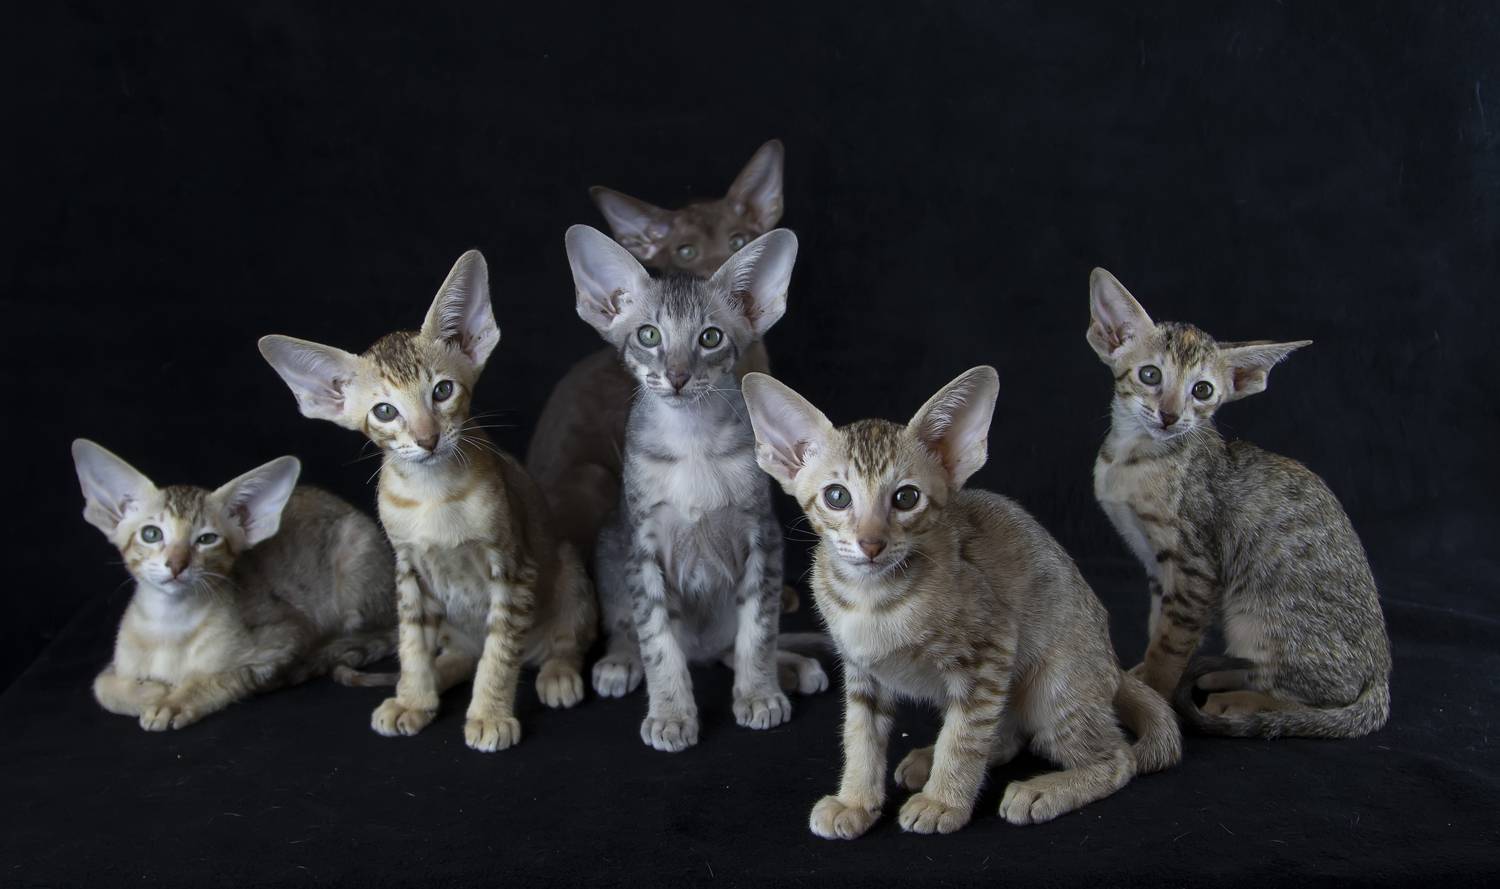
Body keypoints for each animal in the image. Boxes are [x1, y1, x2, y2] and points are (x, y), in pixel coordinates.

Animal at [72, 440, 397, 731]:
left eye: (206, 539)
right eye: (151, 534)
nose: (177, 564)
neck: (168, 625)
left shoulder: (284, 638)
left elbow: (222, 676)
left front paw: (173, 701)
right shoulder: (118, 664)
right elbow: (101, 686)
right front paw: (151, 692)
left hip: (355, 570)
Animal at [258, 249, 597, 752]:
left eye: (442, 391)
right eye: (384, 411)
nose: (427, 438)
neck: (434, 495)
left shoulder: (512, 567)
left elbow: (500, 652)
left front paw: (490, 714)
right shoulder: (408, 570)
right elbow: (412, 644)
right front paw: (413, 699)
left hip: (568, 568)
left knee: (563, 638)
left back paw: (557, 672)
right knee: (462, 655)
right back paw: (433, 679)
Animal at [563, 223, 827, 752]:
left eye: (710, 338)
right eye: (649, 335)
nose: (678, 376)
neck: (693, 443)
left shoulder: (763, 537)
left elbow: (759, 630)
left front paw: (759, 694)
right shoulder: (642, 545)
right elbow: (658, 641)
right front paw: (670, 715)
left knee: (732, 646)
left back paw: (792, 667)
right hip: (610, 543)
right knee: (628, 626)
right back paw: (620, 661)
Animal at [741, 367, 1181, 838]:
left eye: (906, 498)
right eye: (837, 496)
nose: (871, 543)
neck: (871, 598)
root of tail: (1111, 664)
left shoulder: (991, 653)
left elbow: (964, 737)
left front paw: (943, 801)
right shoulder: (861, 671)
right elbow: (860, 736)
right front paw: (855, 800)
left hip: (1055, 685)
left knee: (1118, 758)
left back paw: (1042, 790)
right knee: (1005, 733)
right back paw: (928, 760)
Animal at [1087, 267, 1392, 738]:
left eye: (1202, 390)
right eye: (1151, 375)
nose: (1170, 416)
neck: (1133, 458)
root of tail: (1381, 676)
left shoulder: (1196, 568)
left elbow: (1170, 645)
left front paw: (1153, 692)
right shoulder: (1158, 567)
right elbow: (1158, 628)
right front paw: (1140, 677)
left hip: (1257, 616)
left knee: (1314, 692)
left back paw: (1235, 701)